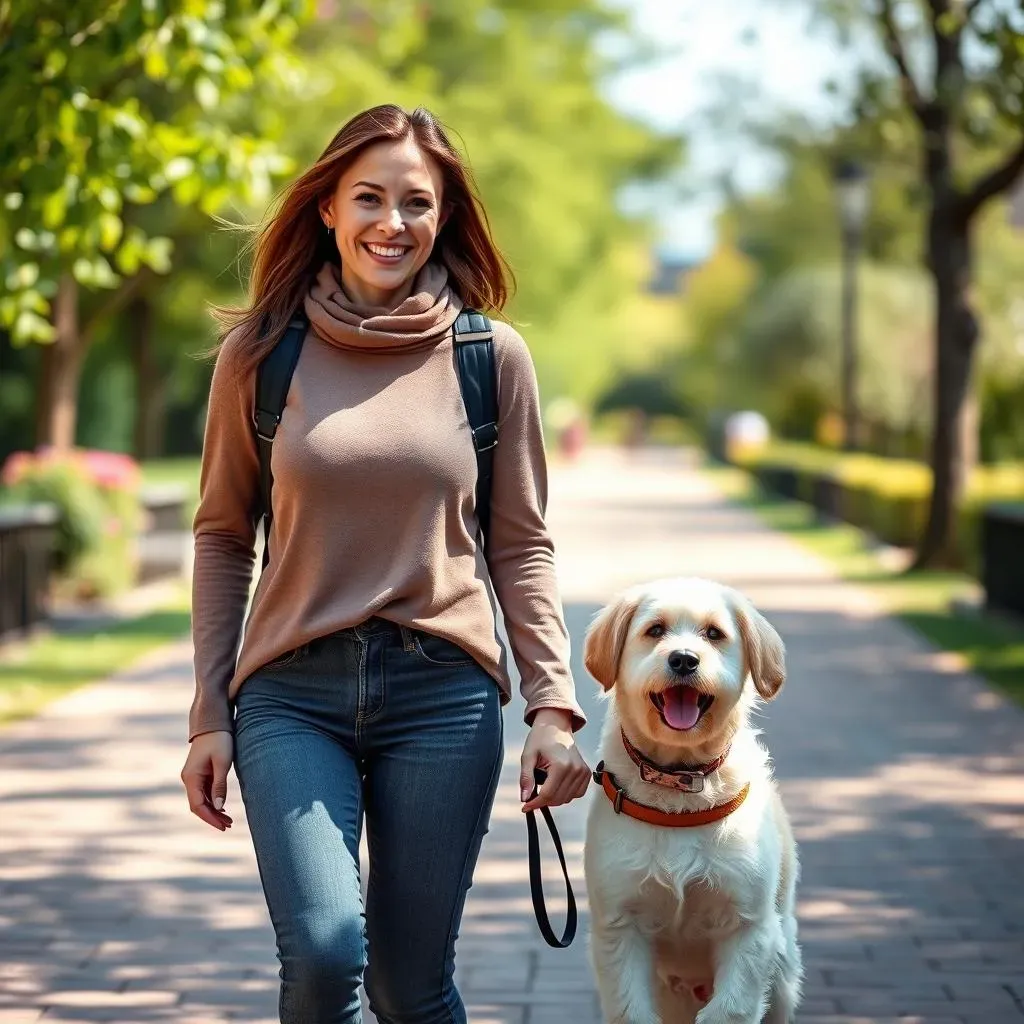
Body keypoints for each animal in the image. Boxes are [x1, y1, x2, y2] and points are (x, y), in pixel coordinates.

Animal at [585, 577, 798, 1024]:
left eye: (714, 634)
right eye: (655, 630)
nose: (684, 660)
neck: (680, 782)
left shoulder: (749, 928)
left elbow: (730, 1011)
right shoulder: (620, 927)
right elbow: (631, 1011)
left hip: (784, 978)